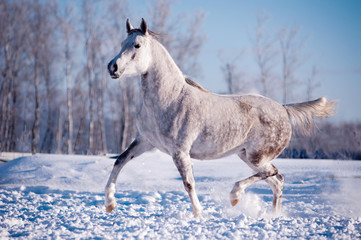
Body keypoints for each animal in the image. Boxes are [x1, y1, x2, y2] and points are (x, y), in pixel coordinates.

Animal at [104, 18, 334, 218]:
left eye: (137, 45)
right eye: (122, 43)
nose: (112, 67)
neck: (170, 99)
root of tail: (284, 109)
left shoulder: (180, 151)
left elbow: (188, 183)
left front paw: (198, 214)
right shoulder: (145, 142)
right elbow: (119, 161)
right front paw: (109, 203)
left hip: (256, 157)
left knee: (274, 175)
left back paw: (235, 196)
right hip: (248, 156)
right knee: (277, 180)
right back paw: (272, 216)